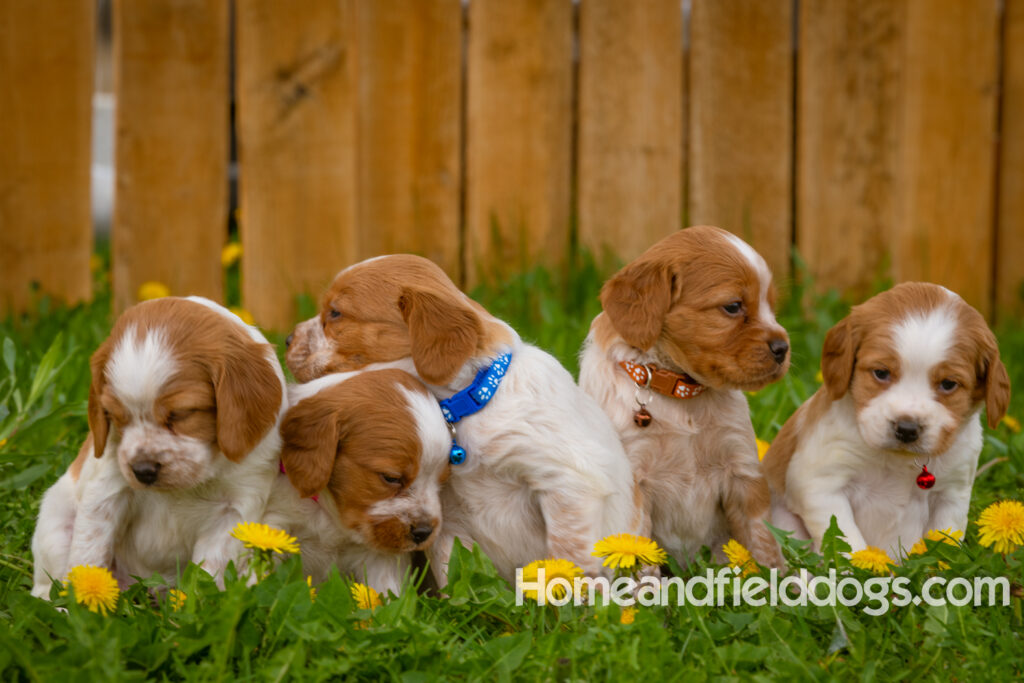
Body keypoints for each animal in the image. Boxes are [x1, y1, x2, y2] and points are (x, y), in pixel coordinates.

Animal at [32, 296, 286, 593]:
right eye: (116, 416)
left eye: (181, 414)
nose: (143, 471)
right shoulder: (107, 489)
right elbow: (88, 555)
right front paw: (82, 600)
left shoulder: (235, 509)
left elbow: (209, 571)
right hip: (55, 521)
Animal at [262, 368, 450, 593]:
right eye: (391, 478)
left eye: (441, 481)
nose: (424, 532)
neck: (332, 518)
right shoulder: (276, 523)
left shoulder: (380, 558)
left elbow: (384, 593)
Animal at [581, 227, 786, 569]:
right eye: (733, 306)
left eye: (770, 305)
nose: (783, 348)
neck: (682, 391)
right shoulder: (634, 479)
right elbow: (639, 552)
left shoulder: (742, 472)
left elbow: (763, 541)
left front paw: (784, 581)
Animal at [765, 280, 1011, 557]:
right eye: (881, 373)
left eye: (948, 384)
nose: (907, 428)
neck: (901, 461)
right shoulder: (820, 483)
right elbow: (849, 542)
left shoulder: (952, 494)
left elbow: (944, 545)